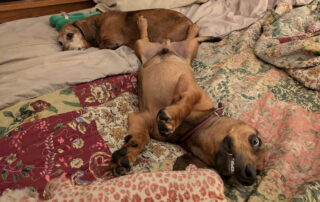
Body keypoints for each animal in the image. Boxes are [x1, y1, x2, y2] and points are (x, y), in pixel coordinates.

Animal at [57, 8, 192, 50]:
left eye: (69, 35)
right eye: (60, 43)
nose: (64, 50)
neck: (98, 24)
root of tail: (190, 23)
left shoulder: (111, 40)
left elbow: (102, 45)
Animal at [110, 16, 264, 186]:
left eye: (259, 172)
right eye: (255, 141)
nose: (251, 177)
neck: (194, 126)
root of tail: (166, 46)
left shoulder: (141, 117)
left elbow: (142, 136)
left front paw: (128, 152)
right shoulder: (189, 85)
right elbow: (187, 103)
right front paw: (172, 118)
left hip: (188, 50)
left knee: (187, 39)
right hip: (149, 46)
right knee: (148, 36)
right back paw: (146, 23)